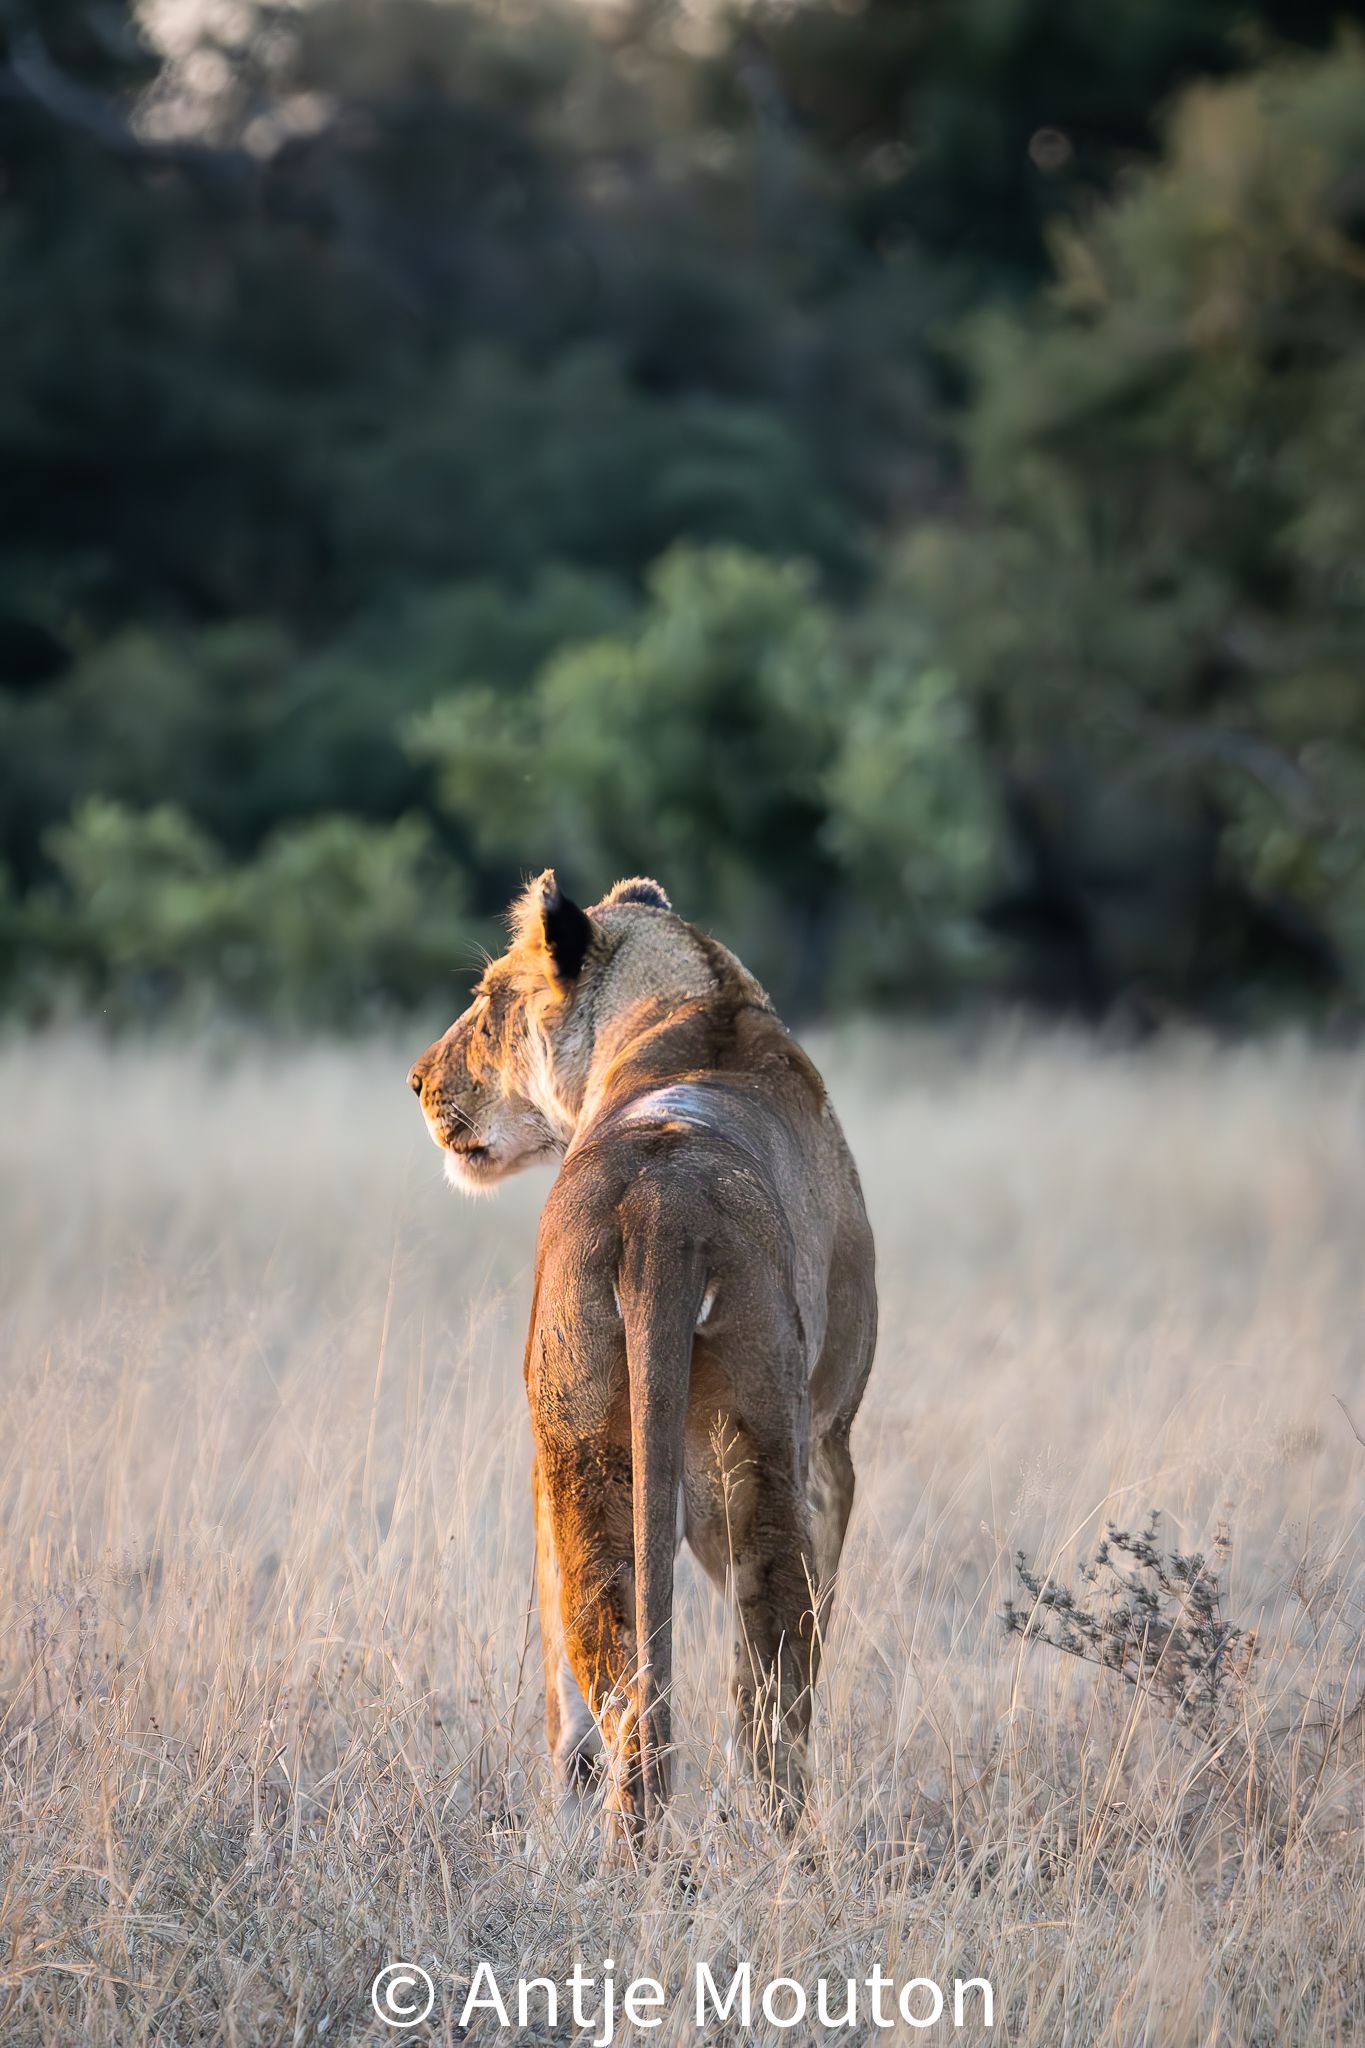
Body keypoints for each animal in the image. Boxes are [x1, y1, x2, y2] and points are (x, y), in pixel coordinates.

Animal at [407, 871, 877, 1847]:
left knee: (623, 1689)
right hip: (759, 1457)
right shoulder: (832, 1445)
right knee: (764, 1704)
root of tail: (664, 1208)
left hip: (583, 1454)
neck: (694, 1005)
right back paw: (784, 1854)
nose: (417, 1080)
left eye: (485, 1001)